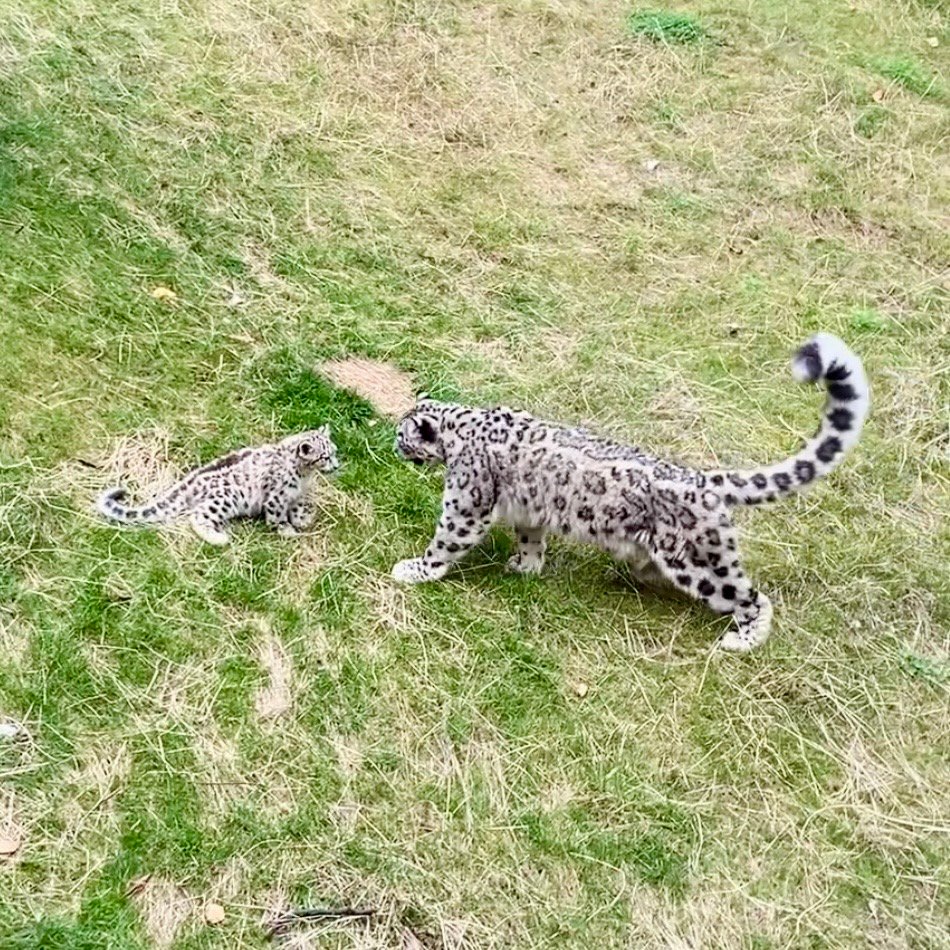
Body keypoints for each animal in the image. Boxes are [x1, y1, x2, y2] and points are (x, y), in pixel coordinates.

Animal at [97, 427, 339, 545]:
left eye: (334, 451)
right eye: (324, 457)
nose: (337, 465)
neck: (305, 476)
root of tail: (190, 481)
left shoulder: (296, 493)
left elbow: (298, 505)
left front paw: (303, 519)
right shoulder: (276, 498)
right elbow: (278, 517)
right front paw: (287, 531)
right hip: (225, 499)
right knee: (198, 516)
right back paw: (218, 538)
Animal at [391, 333, 869, 651]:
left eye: (403, 432)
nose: (393, 444)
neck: (464, 427)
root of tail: (705, 481)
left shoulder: (466, 501)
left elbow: (447, 539)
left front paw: (416, 569)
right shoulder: (528, 510)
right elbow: (531, 537)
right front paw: (525, 566)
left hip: (700, 563)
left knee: (750, 596)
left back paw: (744, 639)